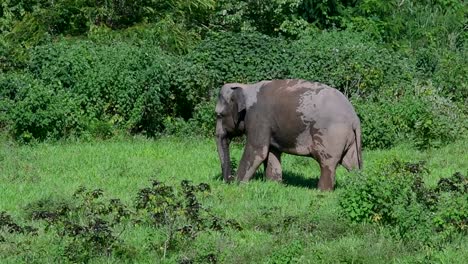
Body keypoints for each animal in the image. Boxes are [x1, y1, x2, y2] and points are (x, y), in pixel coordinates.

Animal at [214, 78, 364, 190]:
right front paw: (273, 185)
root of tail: (354, 118)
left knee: (327, 163)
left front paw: (237, 185)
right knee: (351, 163)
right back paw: (355, 185)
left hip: (331, 135)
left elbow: (258, 151)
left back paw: (322, 192)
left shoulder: (258, 118)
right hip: (348, 138)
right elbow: (271, 152)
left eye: (219, 115)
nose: (228, 180)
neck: (246, 88)